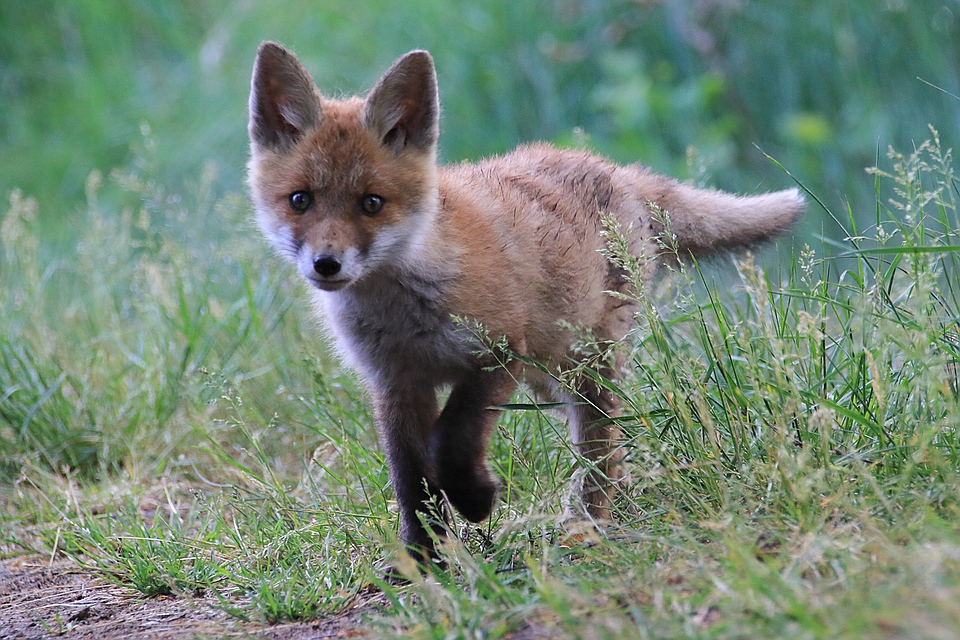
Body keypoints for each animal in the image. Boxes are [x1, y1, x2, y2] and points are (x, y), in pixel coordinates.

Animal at [246, 42, 804, 560]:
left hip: (584, 365)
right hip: (549, 376)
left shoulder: (499, 352)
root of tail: (616, 169)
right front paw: (424, 559)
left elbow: (452, 440)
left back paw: (588, 524)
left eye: (371, 203)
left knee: (602, 444)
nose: (327, 264)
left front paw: (474, 500)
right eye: (300, 200)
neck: (407, 309)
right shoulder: (395, 383)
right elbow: (412, 482)